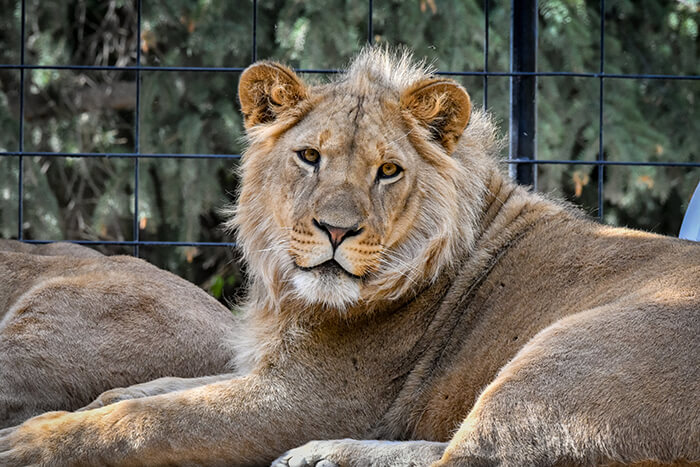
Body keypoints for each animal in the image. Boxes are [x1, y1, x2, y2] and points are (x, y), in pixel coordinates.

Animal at [1, 48, 700, 467]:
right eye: (310, 156)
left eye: (388, 171)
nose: (336, 231)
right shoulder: (268, 370)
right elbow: (159, 388)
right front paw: (95, 397)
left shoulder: (304, 399)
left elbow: (144, 420)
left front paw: (28, 439)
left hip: (564, 352)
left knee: (473, 458)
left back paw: (327, 453)